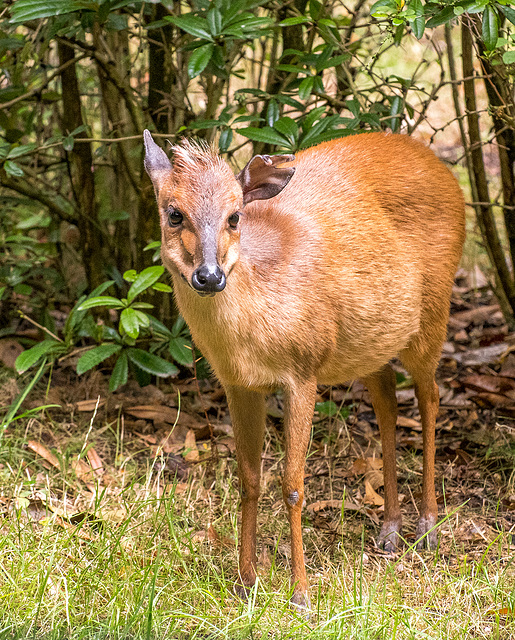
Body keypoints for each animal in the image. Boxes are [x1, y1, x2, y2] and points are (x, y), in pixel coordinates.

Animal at [143, 127, 466, 608]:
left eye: (235, 216)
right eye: (174, 213)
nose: (210, 276)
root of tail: (444, 170)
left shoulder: (303, 370)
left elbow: (293, 485)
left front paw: (301, 594)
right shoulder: (238, 384)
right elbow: (249, 478)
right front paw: (245, 581)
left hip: (432, 312)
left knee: (430, 399)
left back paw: (428, 527)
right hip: (370, 341)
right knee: (388, 406)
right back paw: (389, 529)